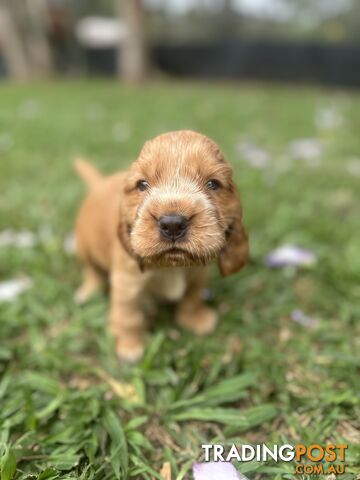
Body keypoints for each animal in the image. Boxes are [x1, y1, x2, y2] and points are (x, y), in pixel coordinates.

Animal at [73, 130, 248, 360]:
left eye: (213, 184)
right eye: (142, 184)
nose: (172, 224)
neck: (170, 265)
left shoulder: (199, 272)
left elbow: (193, 294)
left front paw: (195, 319)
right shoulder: (126, 282)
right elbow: (128, 315)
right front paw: (130, 345)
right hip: (83, 248)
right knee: (90, 270)